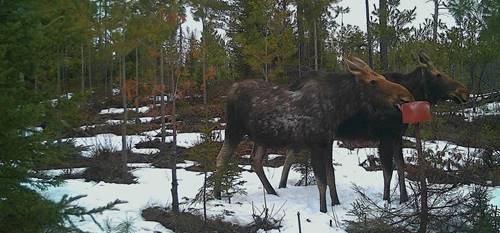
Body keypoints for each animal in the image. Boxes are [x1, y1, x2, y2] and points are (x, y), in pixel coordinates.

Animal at [215, 57, 414, 213]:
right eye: (373, 82)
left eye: (383, 77)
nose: (406, 96)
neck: (339, 107)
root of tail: (230, 90)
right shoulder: (316, 143)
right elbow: (321, 181)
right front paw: (323, 209)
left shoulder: (328, 141)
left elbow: (331, 175)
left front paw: (336, 203)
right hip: (234, 129)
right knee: (222, 158)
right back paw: (217, 195)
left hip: (261, 136)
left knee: (255, 161)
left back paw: (272, 192)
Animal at [276, 52, 470, 204]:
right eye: (438, 75)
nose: (464, 91)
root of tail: (292, 85)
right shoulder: (385, 136)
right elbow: (388, 171)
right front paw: (387, 200)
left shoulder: (397, 135)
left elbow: (401, 167)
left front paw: (404, 198)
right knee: (293, 156)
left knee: (291, 155)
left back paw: (283, 187)